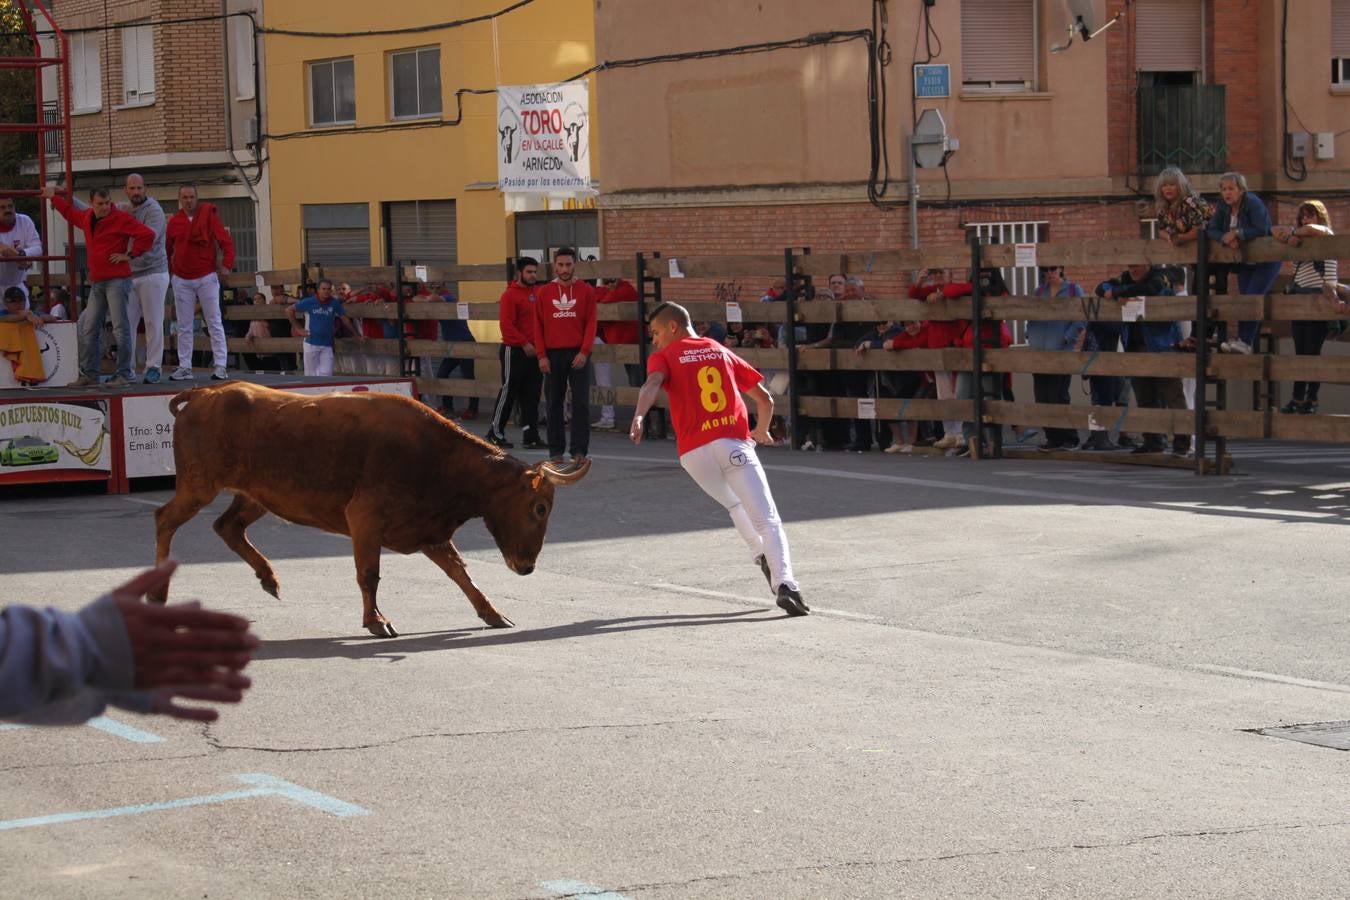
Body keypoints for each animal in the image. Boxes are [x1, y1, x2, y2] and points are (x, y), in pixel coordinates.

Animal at [150, 383, 588, 636]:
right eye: (539, 508)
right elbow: (369, 575)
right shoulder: (365, 521)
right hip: (198, 486)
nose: (526, 567)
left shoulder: (429, 532)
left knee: (228, 527)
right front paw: (377, 621)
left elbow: (461, 574)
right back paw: (158, 594)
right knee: (165, 520)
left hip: (256, 495)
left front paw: (492, 613)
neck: (439, 459)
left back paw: (268, 578)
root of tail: (203, 395)